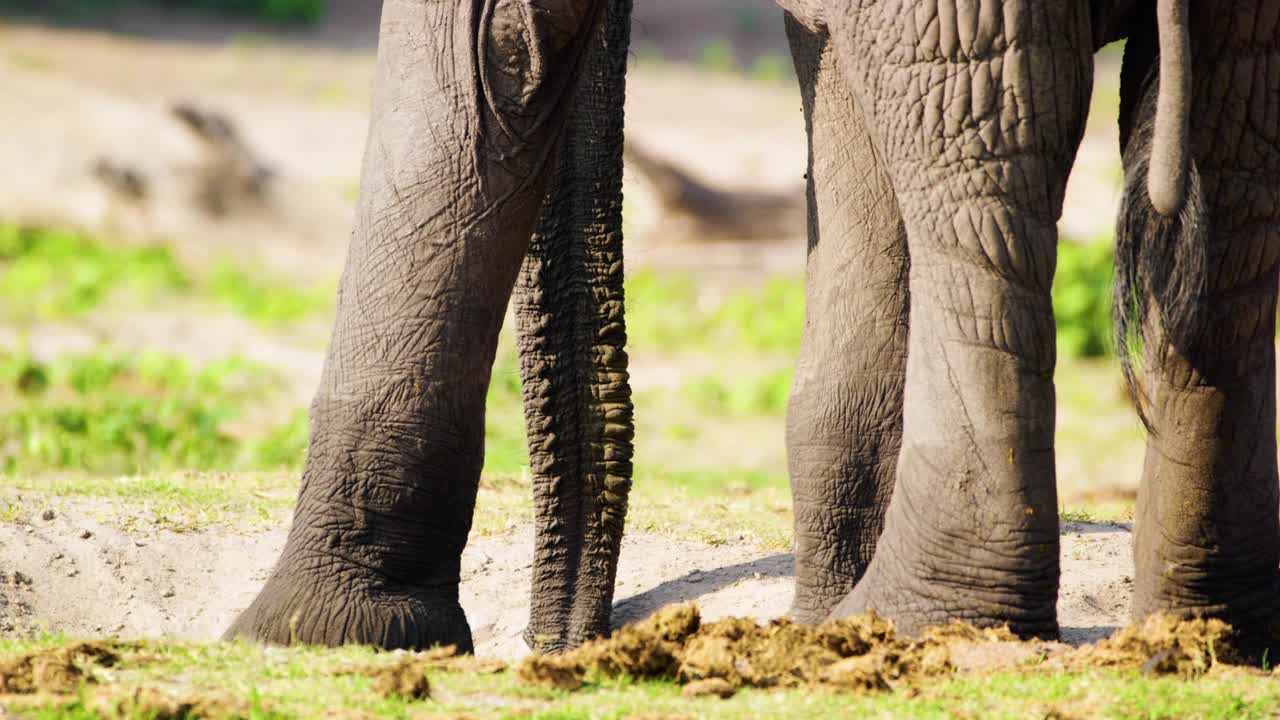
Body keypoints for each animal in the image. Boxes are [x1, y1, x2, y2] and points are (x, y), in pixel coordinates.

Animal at [230, 0, 1280, 650]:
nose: (555, 647)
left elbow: (469, 58)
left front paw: (307, 638)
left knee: (986, 164)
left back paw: (919, 624)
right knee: (1232, 177)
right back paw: (1203, 631)